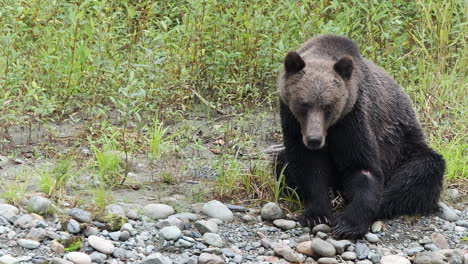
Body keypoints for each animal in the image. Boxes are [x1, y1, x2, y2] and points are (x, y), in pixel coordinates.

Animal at [278, 34, 446, 238]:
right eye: (304, 104)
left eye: (328, 106)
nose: (314, 140)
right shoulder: (292, 120)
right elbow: (308, 166)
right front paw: (316, 214)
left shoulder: (353, 118)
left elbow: (362, 167)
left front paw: (348, 224)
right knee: (281, 161)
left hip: (405, 146)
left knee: (421, 171)